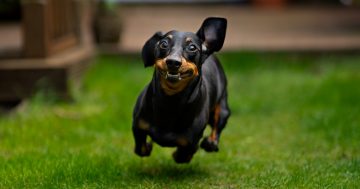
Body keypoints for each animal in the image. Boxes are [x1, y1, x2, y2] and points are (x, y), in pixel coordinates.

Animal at [133, 17, 231, 163]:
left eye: (192, 47)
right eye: (163, 44)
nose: (173, 62)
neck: (171, 100)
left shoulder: (191, 142)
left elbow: (183, 155)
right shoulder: (138, 126)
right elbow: (141, 148)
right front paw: (148, 146)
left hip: (223, 109)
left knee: (217, 127)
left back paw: (211, 143)